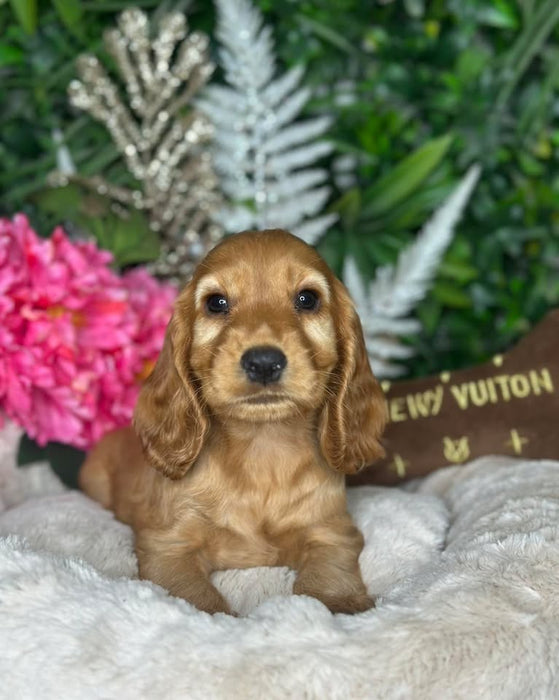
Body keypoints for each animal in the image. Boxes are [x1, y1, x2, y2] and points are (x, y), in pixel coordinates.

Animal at [79, 228, 388, 612]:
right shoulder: (168, 544)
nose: (264, 362)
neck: (262, 451)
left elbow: (328, 571)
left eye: (307, 299)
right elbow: (195, 597)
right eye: (216, 303)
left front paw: (338, 602)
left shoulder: (331, 529)